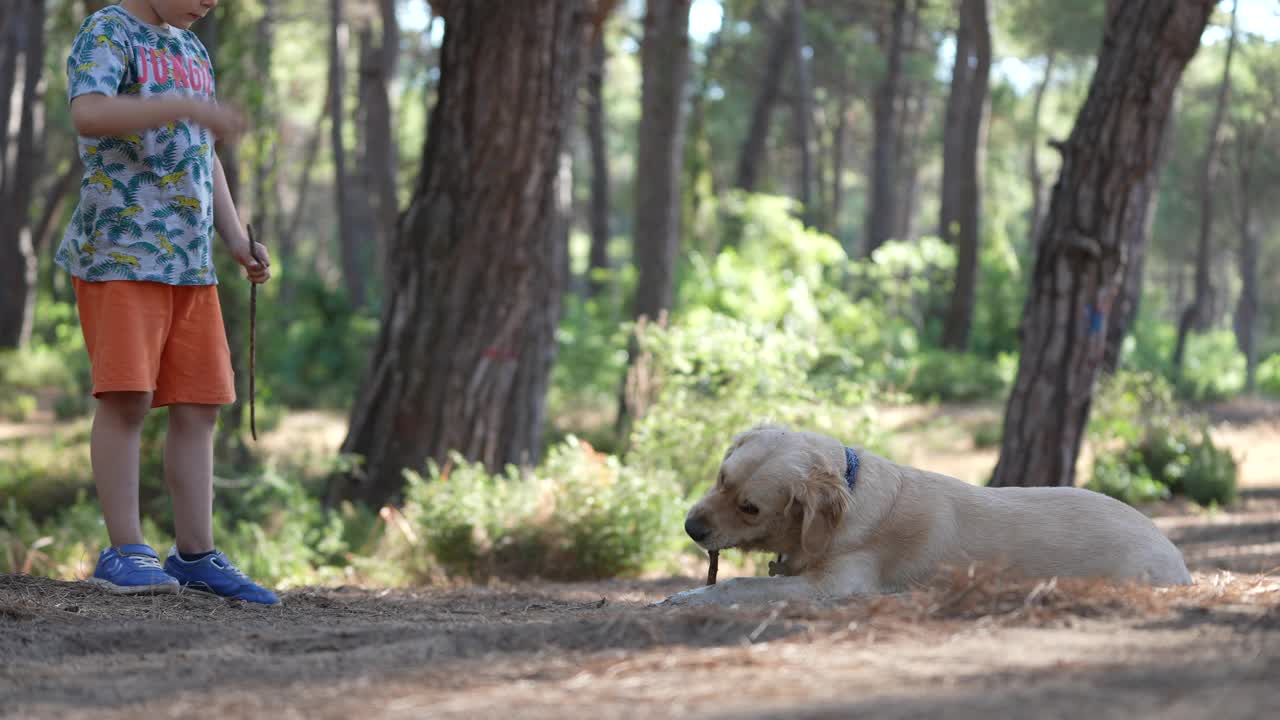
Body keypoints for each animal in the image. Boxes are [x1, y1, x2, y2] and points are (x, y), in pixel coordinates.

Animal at [660, 422, 1187, 602]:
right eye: (721, 477)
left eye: (750, 508)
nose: (689, 528)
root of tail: (1176, 555)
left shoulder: (835, 585)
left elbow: (739, 586)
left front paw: (687, 597)